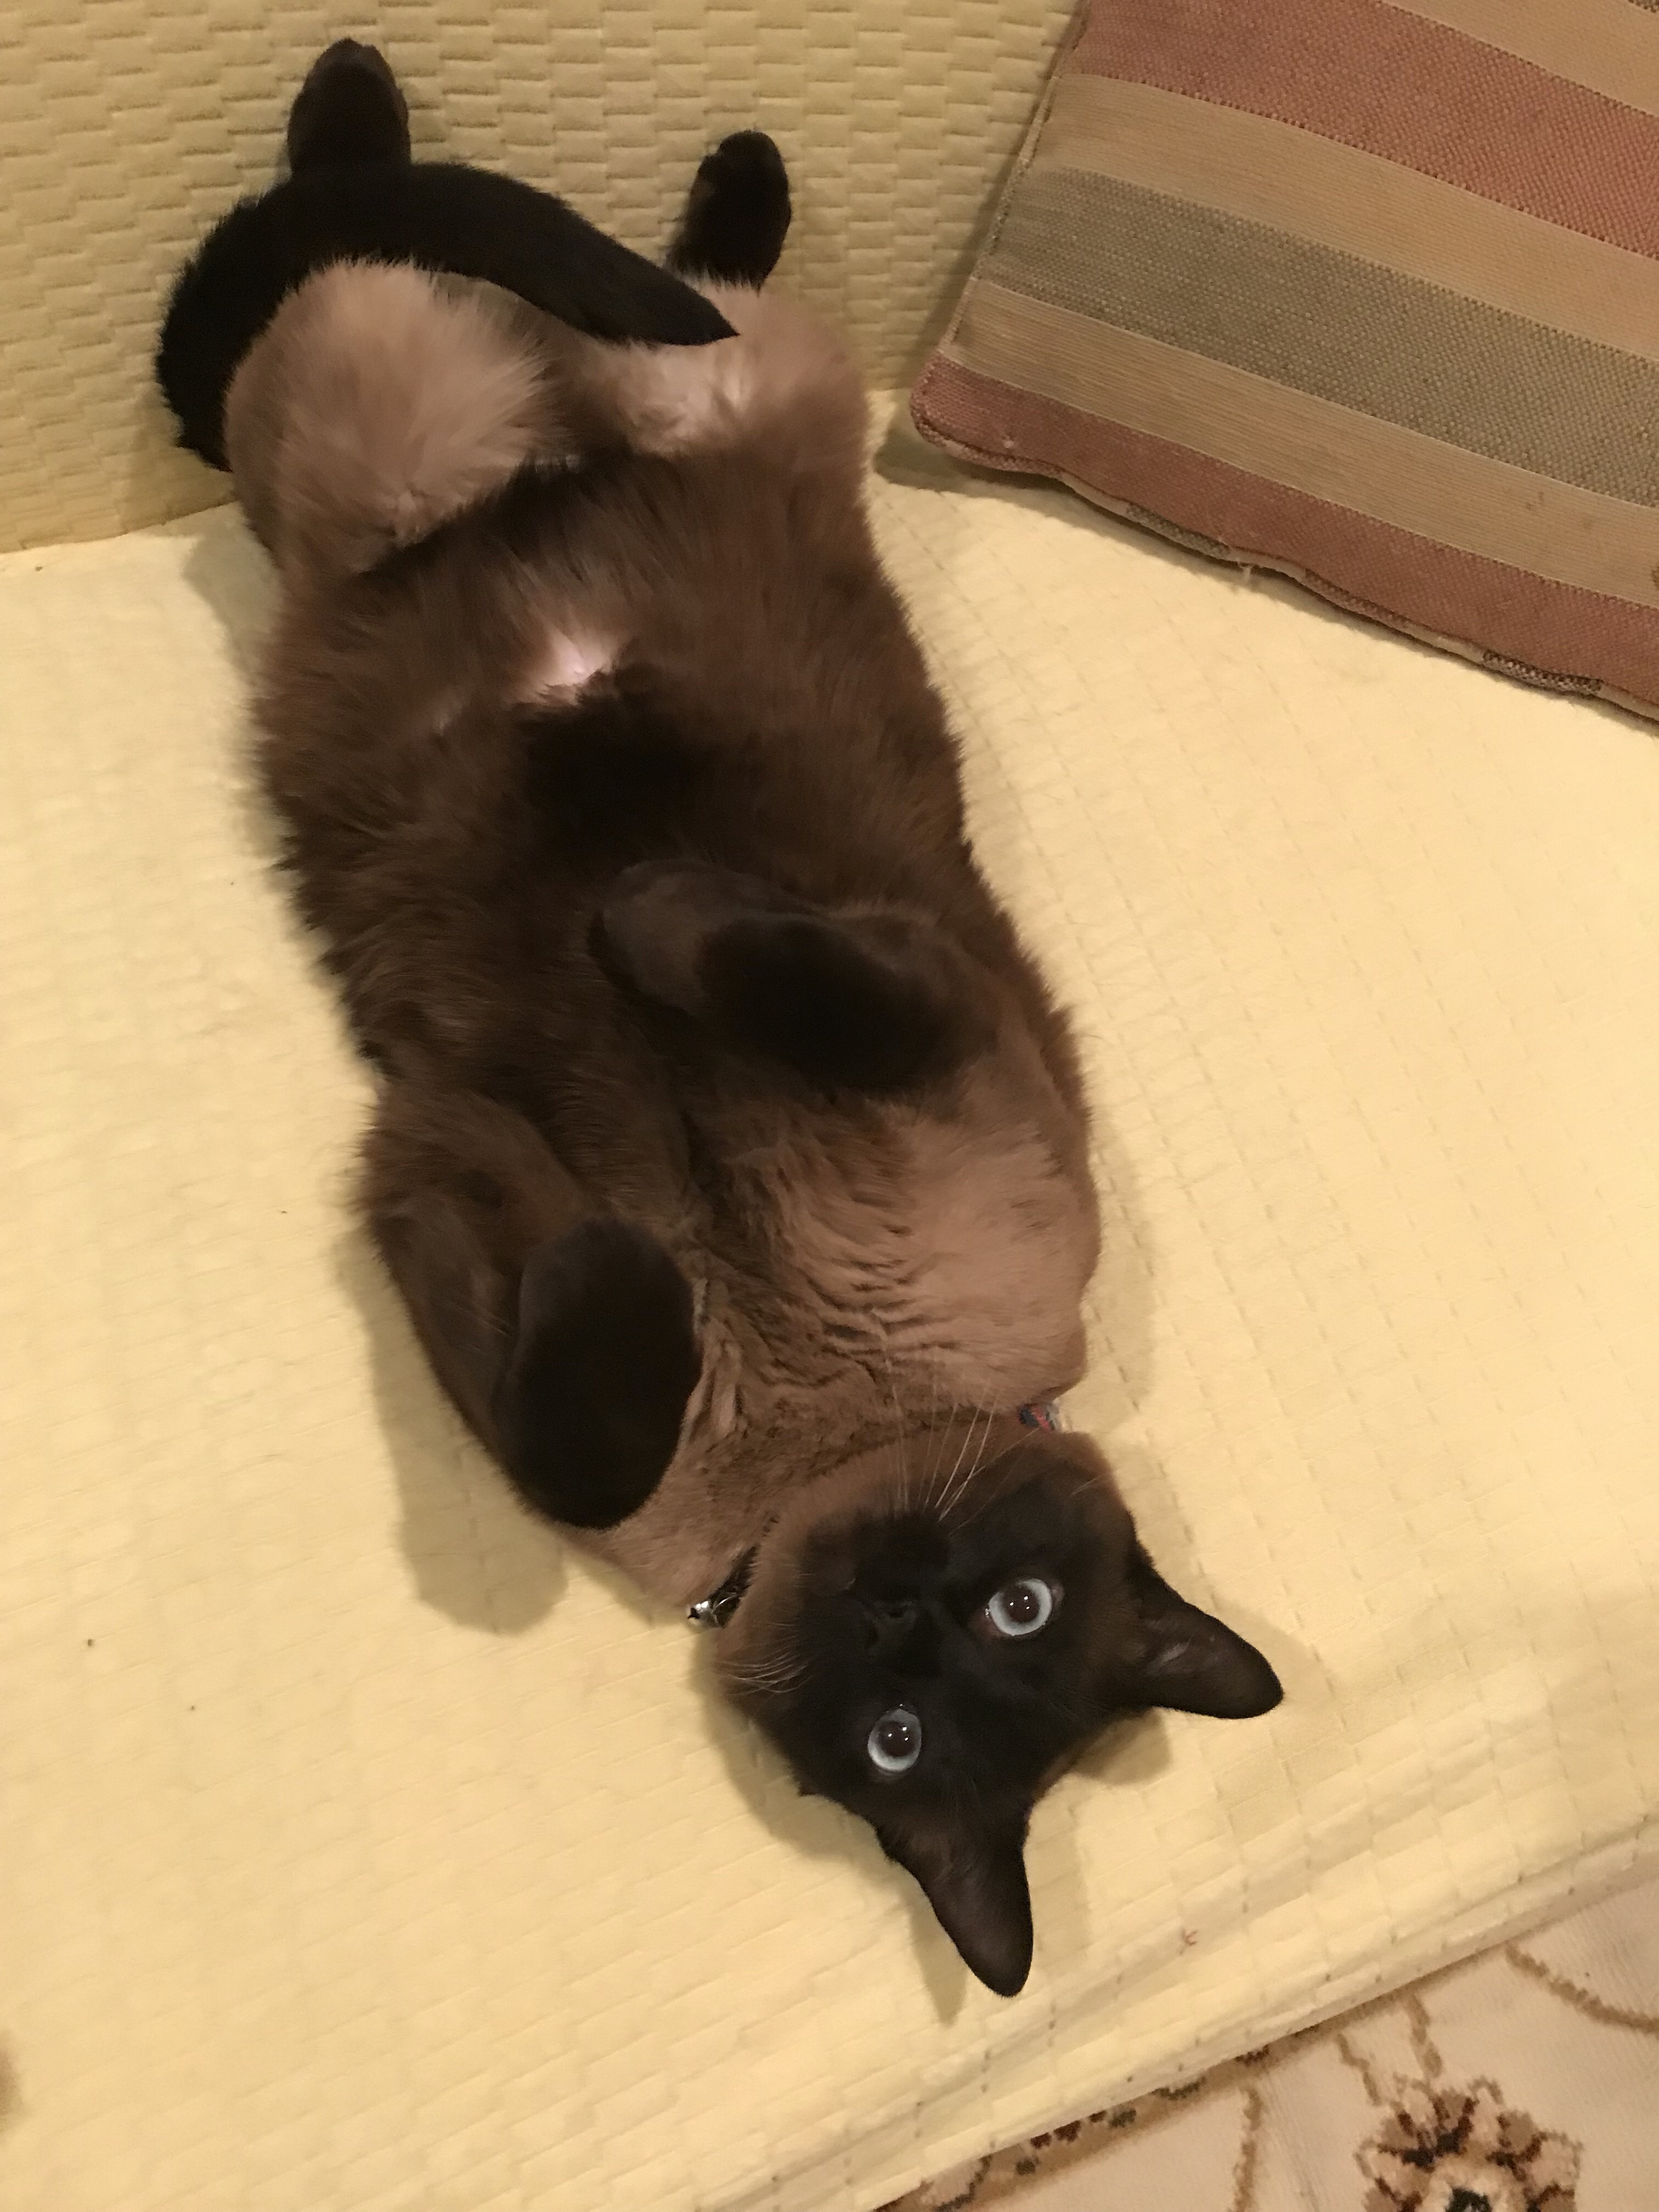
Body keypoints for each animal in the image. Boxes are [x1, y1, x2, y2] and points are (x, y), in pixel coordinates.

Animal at [165, 41, 1282, 1997]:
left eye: (930, 1715)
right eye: (1012, 1605)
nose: (910, 1610)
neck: (826, 1431)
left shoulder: (428, 1156)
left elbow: (572, 1422)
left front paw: (628, 1256)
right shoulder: (927, 1042)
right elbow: (751, 977)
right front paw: (639, 933)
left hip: (397, 443)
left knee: (394, 269)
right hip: (623, 399)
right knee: (542, 263)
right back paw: (521, 117)